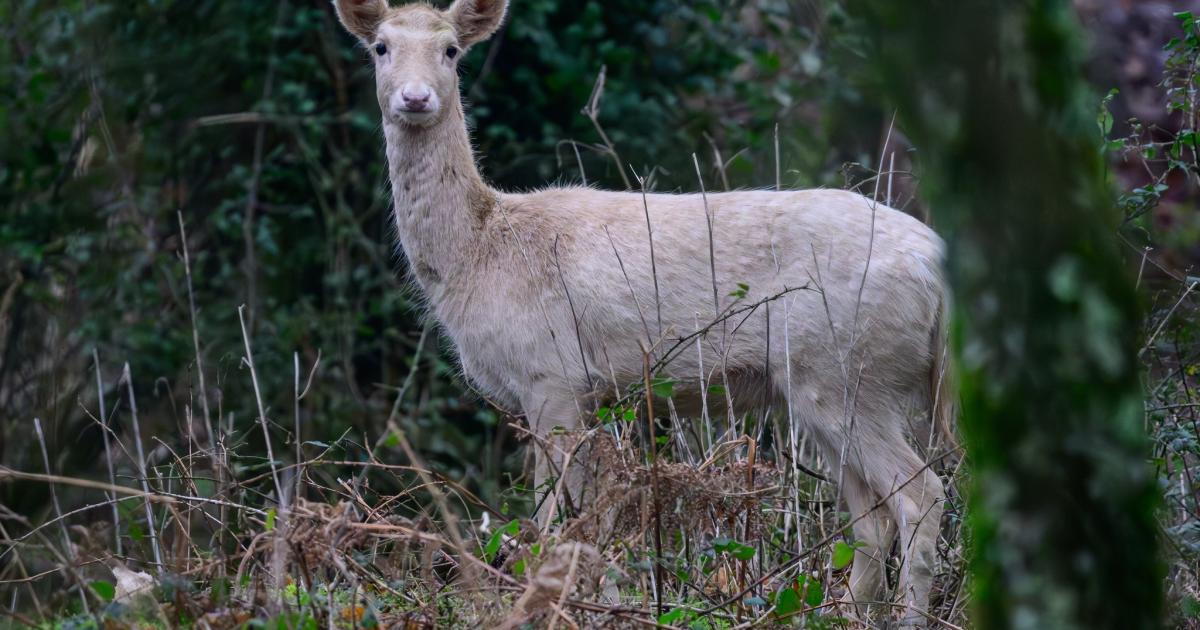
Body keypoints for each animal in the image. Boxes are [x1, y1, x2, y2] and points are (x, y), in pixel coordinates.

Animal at [333, 0, 954, 623]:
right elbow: (588, 517)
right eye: (381, 47)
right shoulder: (586, 395)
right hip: (825, 385)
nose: (415, 97)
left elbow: (554, 519)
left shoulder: (551, 373)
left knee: (919, 493)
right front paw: (607, 602)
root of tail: (937, 268)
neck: (479, 253)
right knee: (870, 516)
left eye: (451, 49)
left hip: (847, 370)